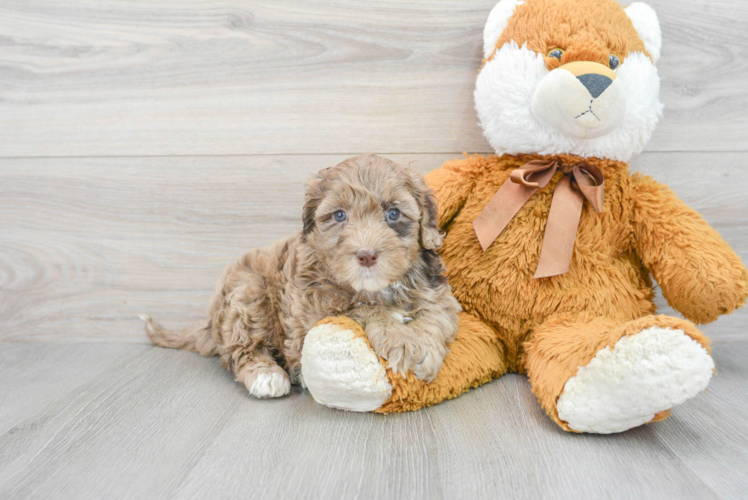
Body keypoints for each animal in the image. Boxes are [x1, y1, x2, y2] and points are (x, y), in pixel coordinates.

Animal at [139, 153, 456, 398]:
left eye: (393, 213)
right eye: (339, 216)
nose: (367, 255)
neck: (374, 289)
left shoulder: (438, 293)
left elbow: (436, 313)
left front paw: (423, 347)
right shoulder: (312, 314)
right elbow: (360, 310)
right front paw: (401, 338)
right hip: (246, 292)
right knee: (240, 349)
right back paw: (267, 376)